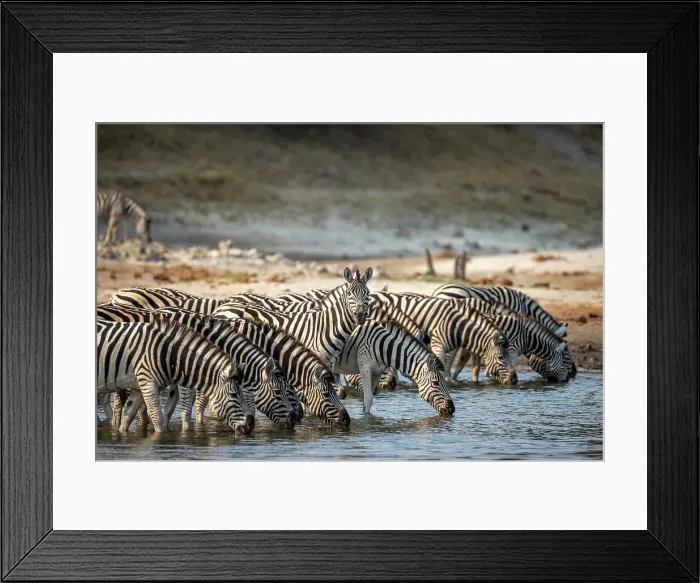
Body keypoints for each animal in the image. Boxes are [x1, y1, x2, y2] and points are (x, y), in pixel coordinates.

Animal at [96, 318, 255, 434]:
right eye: (234, 395)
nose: (251, 425)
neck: (168, 354)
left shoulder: (138, 386)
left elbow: (128, 416)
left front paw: (121, 434)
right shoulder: (147, 382)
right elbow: (157, 418)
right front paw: (160, 438)